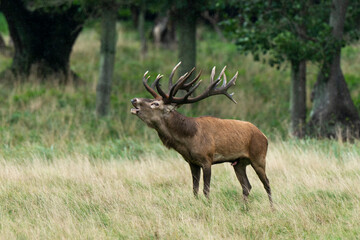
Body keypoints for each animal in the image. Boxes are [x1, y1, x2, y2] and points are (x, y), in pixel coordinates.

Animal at [131, 62, 272, 206]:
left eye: (155, 103)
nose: (134, 100)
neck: (188, 139)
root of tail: (264, 136)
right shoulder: (192, 162)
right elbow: (194, 190)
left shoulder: (207, 159)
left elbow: (206, 190)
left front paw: (208, 205)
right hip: (239, 163)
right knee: (247, 186)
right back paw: (244, 207)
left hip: (259, 157)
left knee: (266, 183)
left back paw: (271, 207)